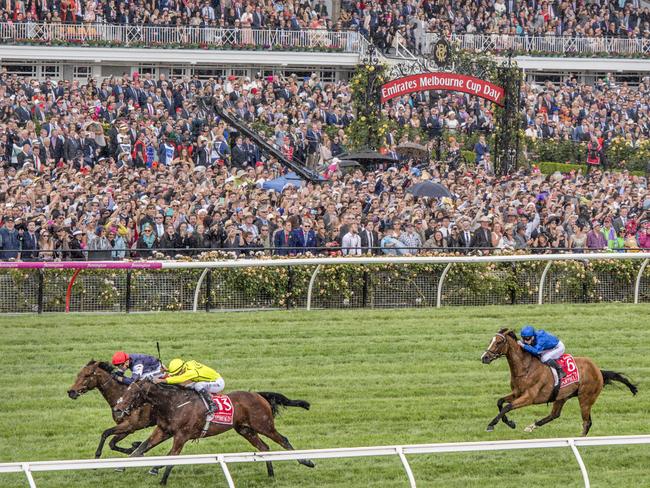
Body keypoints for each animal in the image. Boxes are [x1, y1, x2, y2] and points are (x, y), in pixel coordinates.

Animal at [115, 382, 316, 484]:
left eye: (133, 393)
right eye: (125, 390)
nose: (117, 408)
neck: (173, 402)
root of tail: (259, 395)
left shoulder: (182, 435)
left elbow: (172, 457)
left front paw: (159, 474)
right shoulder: (163, 431)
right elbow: (141, 448)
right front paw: (121, 466)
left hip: (264, 425)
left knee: (283, 440)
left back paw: (307, 461)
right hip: (245, 429)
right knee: (264, 447)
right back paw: (271, 475)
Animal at [478, 328, 636, 434]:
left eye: (499, 342)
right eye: (491, 341)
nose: (484, 358)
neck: (525, 368)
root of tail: (598, 370)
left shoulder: (529, 397)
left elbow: (507, 406)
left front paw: (492, 424)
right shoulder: (517, 393)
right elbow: (500, 402)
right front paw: (509, 423)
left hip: (586, 398)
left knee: (587, 422)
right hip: (561, 396)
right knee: (554, 415)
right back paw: (531, 427)